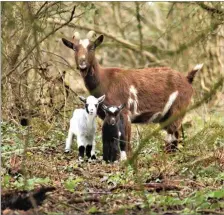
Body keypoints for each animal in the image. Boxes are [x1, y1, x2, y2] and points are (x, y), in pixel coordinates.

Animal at [61, 30, 203, 158]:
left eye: (92, 47)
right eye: (74, 48)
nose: (82, 64)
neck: (105, 80)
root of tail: (187, 79)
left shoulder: (125, 113)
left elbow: (125, 140)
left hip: (177, 109)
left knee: (173, 135)